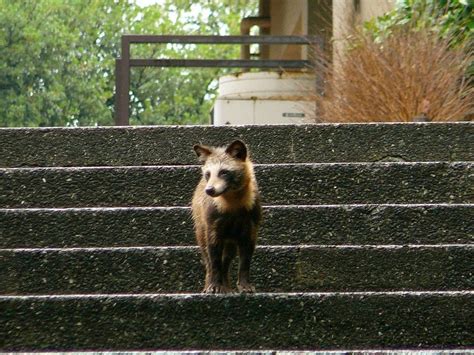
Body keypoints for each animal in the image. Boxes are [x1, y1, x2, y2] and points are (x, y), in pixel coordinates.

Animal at [191, 140, 262, 294]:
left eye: (224, 172)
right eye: (208, 174)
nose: (209, 190)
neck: (233, 205)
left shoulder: (251, 224)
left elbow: (245, 259)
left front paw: (244, 284)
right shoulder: (212, 223)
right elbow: (214, 259)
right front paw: (214, 285)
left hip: (231, 240)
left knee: (227, 259)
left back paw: (227, 285)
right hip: (200, 226)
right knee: (208, 258)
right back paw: (210, 284)